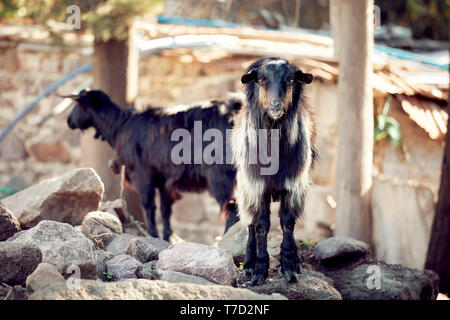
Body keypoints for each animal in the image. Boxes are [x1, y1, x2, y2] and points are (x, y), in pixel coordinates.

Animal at [232, 57, 316, 284]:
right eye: (261, 79)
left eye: (290, 79)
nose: (275, 105)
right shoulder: (256, 187)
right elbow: (261, 225)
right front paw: (259, 269)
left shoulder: (294, 186)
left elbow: (288, 223)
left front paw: (290, 267)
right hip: (245, 190)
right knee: (250, 224)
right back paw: (248, 264)